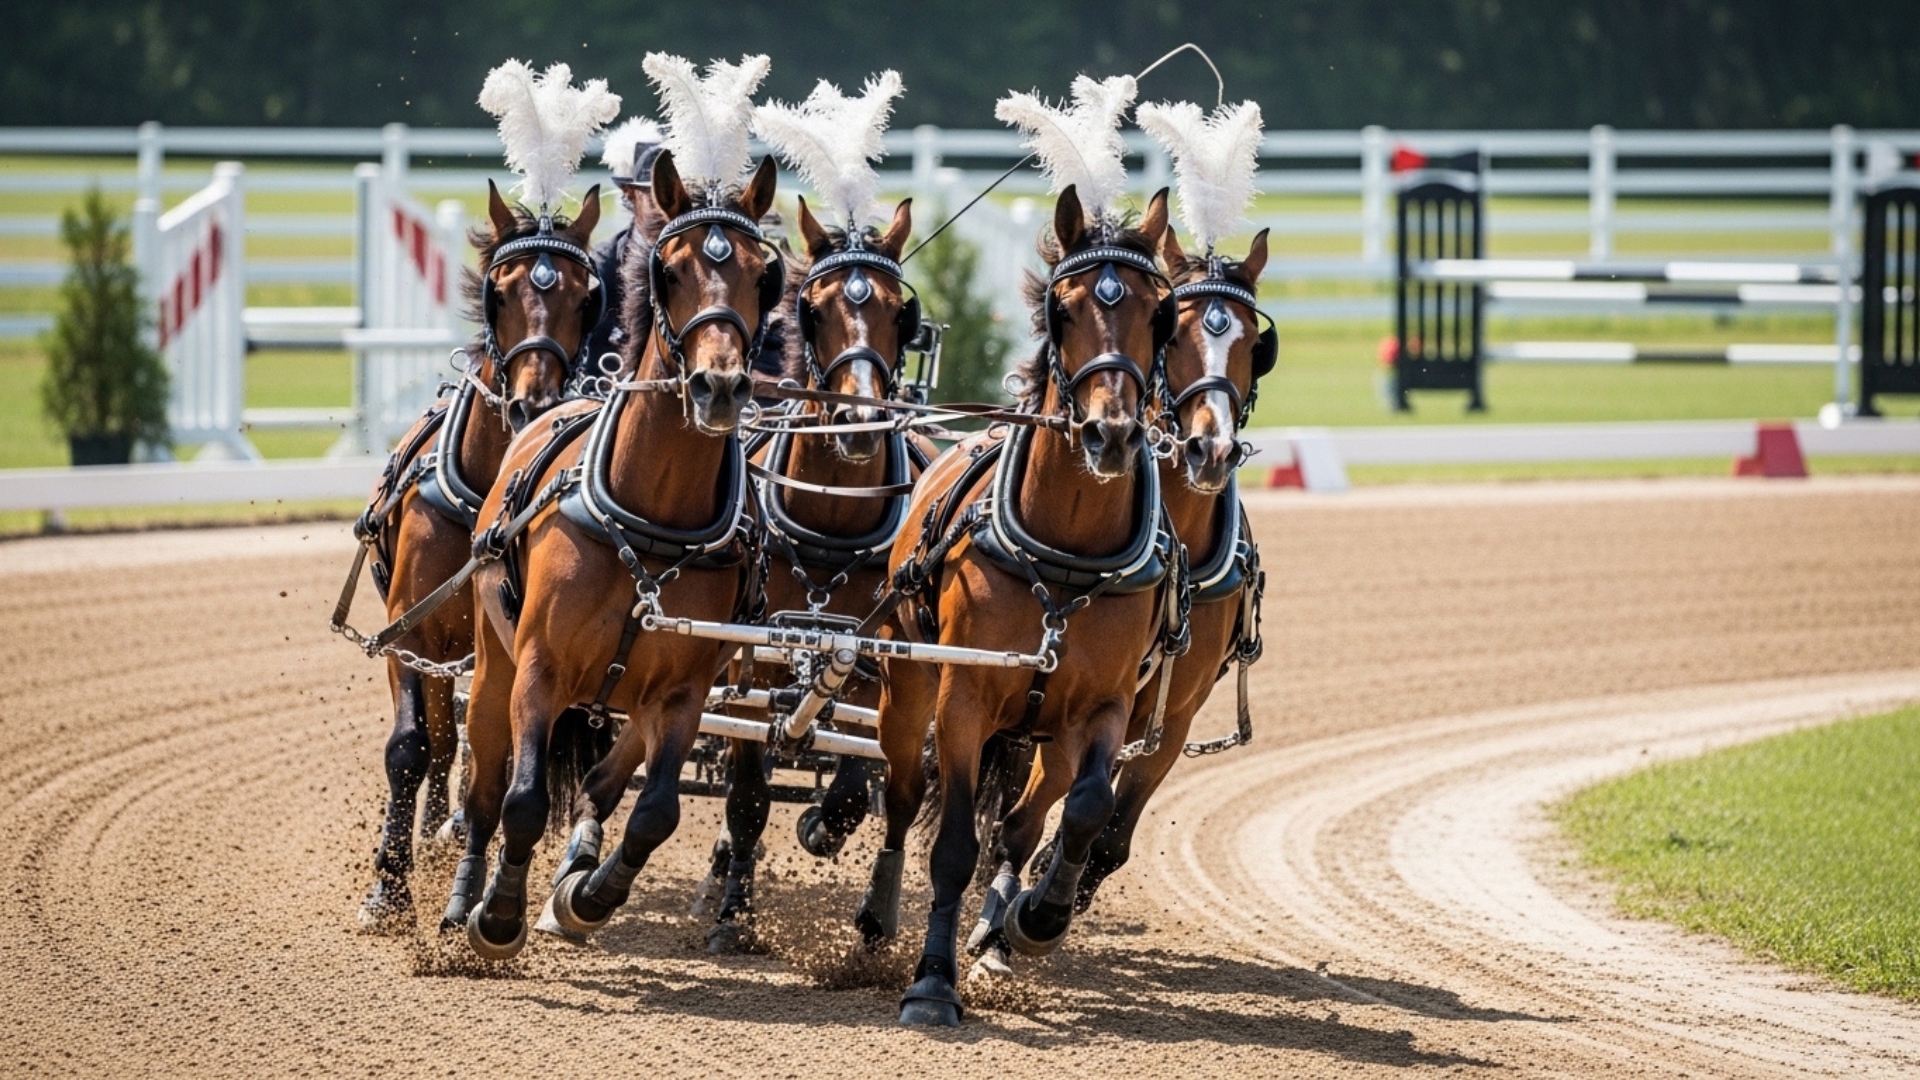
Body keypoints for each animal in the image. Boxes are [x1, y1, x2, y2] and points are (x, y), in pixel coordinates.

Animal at [348, 181, 601, 931]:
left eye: (584, 295)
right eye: (502, 289)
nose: (533, 402)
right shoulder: (410, 631)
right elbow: (411, 748)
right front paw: (389, 887)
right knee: (439, 737)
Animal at [439, 150, 784, 958]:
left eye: (764, 274)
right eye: (671, 270)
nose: (720, 386)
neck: (651, 523)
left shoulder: (685, 692)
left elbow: (656, 812)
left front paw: (587, 897)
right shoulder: (539, 667)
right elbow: (522, 799)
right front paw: (496, 917)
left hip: (633, 702)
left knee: (604, 779)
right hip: (494, 660)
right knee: (485, 786)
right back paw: (463, 899)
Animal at [694, 194, 924, 952]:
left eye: (899, 312)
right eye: (814, 310)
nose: (857, 422)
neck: (833, 519)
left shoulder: (866, 659)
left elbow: (850, 783)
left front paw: (821, 824)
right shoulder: (758, 661)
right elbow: (746, 795)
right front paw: (734, 916)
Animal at [856, 186, 1179, 1026]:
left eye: (1160, 314)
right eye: (1064, 310)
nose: (1109, 433)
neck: (1063, 557)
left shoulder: (1101, 707)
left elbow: (1087, 808)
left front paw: (1041, 915)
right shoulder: (963, 696)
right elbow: (952, 845)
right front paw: (932, 982)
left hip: (1047, 734)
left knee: (1027, 817)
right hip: (907, 686)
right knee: (902, 796)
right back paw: (878, 918)